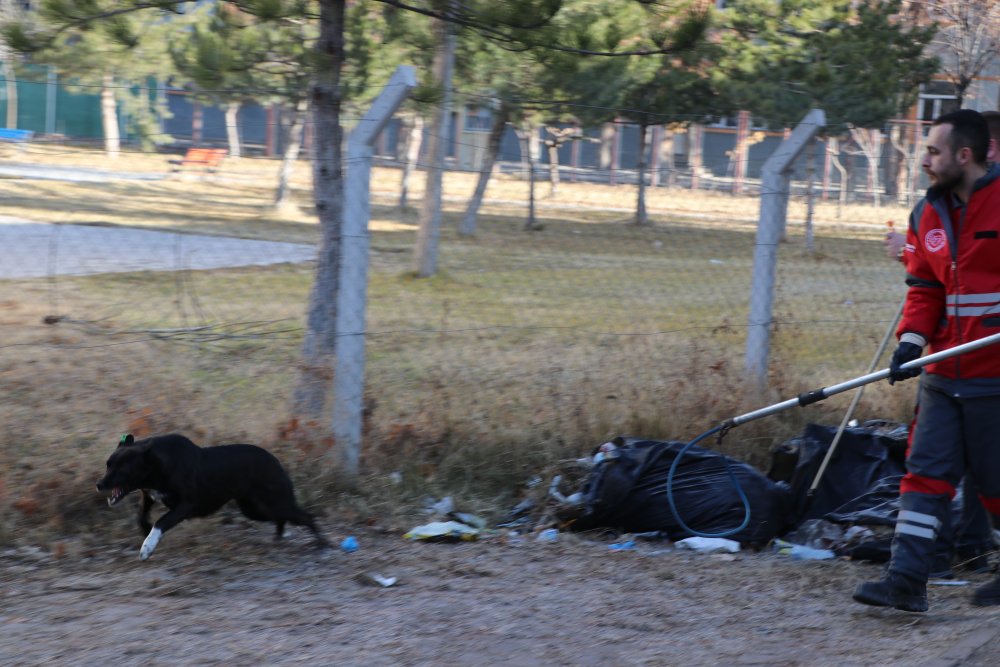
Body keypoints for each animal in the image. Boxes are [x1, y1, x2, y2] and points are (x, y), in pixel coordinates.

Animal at [97, 434, 326, 560]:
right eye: (108, 464)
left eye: (122, 468)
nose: (99, 485)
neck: (158, 463)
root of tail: (275, 461)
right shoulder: (150, 496)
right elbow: (142, 517)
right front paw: (146, 535)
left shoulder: (185, 505)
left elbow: (160, 522)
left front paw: (147, 547)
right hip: (254, 508)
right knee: (281, 518)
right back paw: (279, 538)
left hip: (276, 502)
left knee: (307, 517)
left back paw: (323, 544)